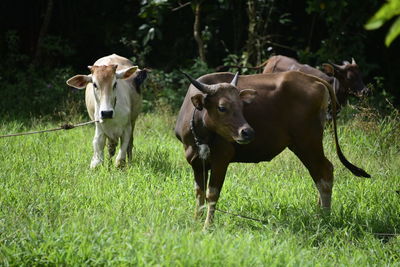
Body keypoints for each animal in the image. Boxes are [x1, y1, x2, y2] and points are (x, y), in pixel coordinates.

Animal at [175, 71, 368, 230]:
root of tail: (314, 79)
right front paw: (197, 220)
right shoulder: (196, 162)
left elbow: (212, 194)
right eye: (222, 107)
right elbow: (199, 193)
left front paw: (207, 226)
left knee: (325, 172)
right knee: (319, 174)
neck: (201, 131)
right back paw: (318, 213)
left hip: (307, 142)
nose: (247, 132)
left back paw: (324, 218)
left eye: (242, 106)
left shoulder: (221, 159)